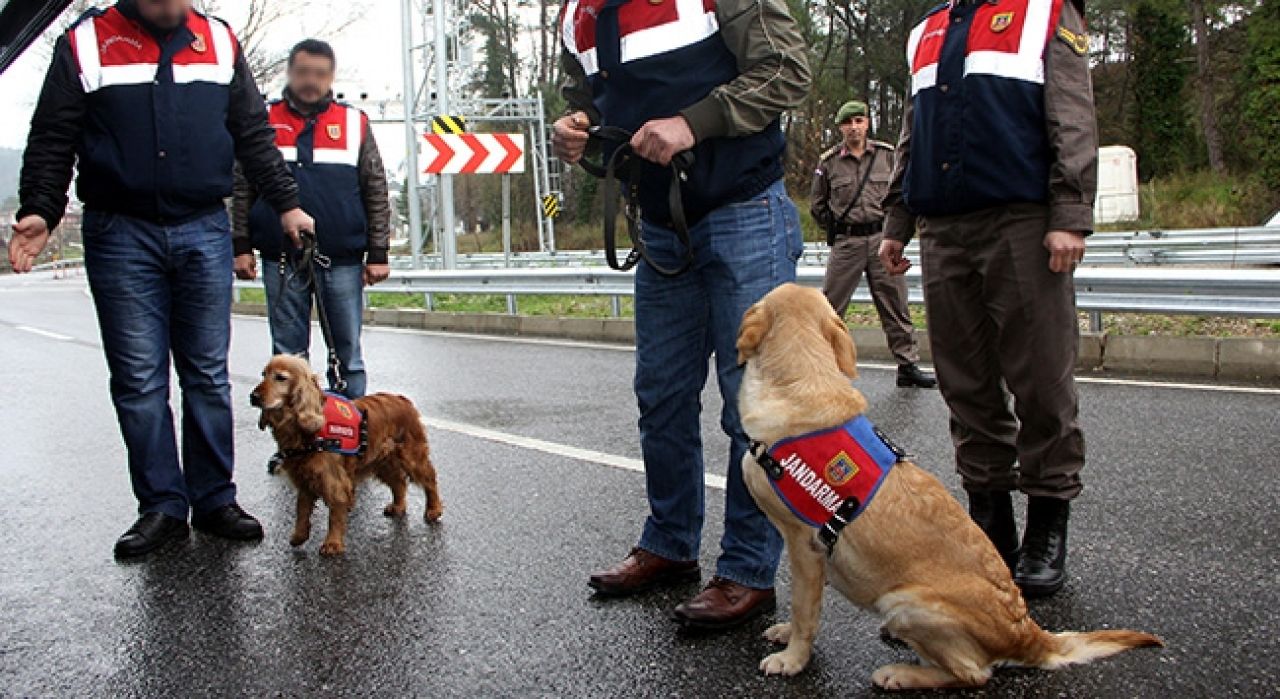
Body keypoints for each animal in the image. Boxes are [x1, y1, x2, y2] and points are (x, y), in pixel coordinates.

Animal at [249, 355, 445, 553]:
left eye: (280, 377)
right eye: (263, 374)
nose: (253, 397)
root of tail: (403, 400)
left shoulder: (334, 482)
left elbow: (334, 515)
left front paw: (332, 543)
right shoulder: (305, 479)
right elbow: (302, 511)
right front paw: (299, 536)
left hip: (412, 457)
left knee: (430, 480)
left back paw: (433, 509)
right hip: (382, 461)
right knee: (399, 483)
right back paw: (397, 507)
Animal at [732, 281, 1162, 686]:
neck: (799, 378)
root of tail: (1029, 634)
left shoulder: (805, 547)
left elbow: (804, 608)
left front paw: (793, 659)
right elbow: (805, 607)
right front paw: (786, 634)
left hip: (908, 603)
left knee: (973, 674)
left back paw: (902, 674)